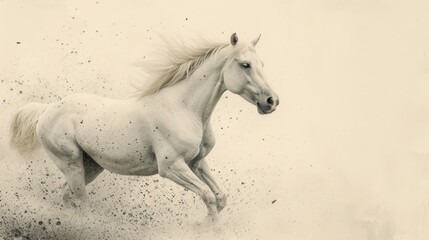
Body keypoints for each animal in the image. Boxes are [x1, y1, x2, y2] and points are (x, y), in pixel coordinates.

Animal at [10, 32, 280, 222]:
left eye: (262, 63)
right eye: (245, 64)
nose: (272, 101)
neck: (184, 108)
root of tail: (47, 110)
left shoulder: (196, 162)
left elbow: (220, 198)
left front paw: (200, 225)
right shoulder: (171, 167)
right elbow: (208, 196)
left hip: (91, 166)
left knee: (66, 195)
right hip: (71, 163)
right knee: (81, 201)